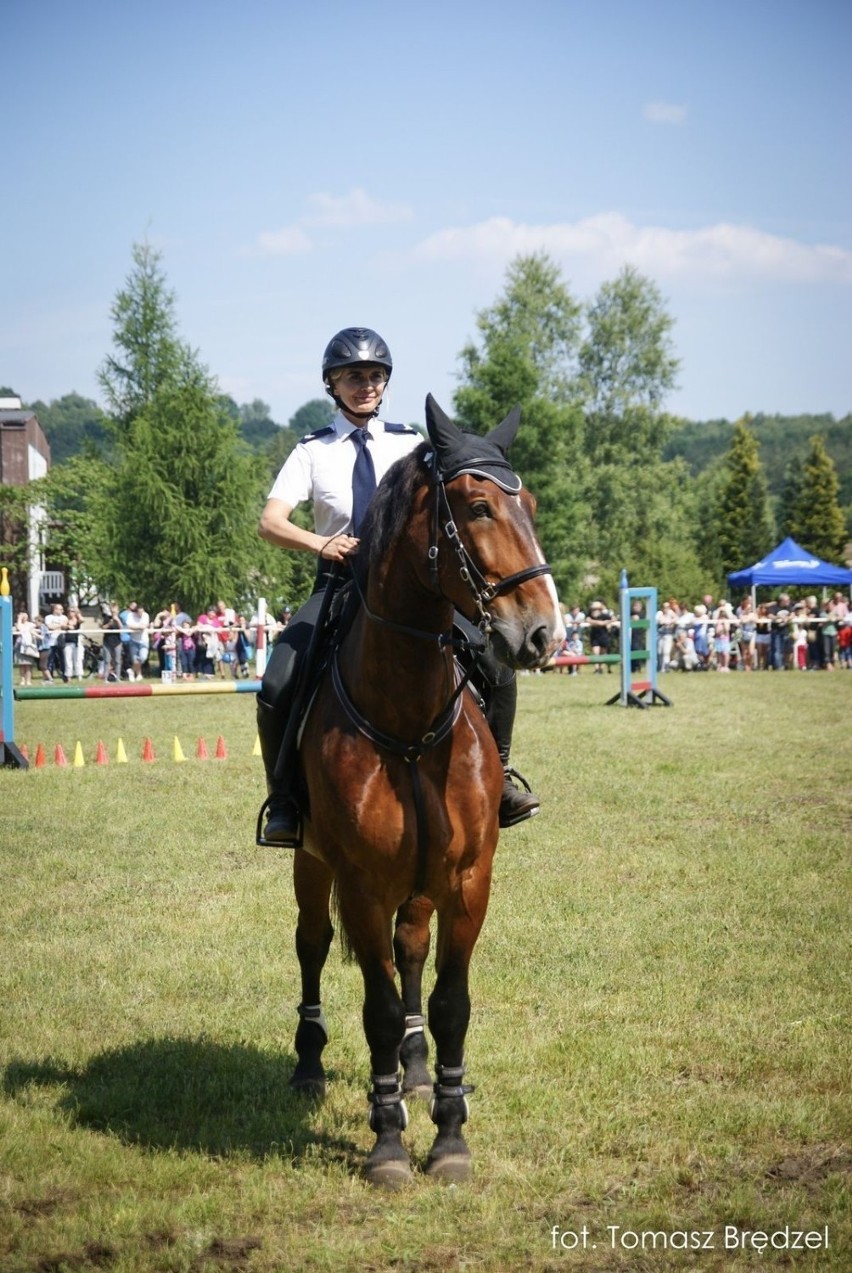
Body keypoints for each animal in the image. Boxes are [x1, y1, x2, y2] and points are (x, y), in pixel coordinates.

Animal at [289, 392, 560, 1186]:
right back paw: (309, 1065)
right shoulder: (360, 881)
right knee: (311, 944)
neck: (406, 718)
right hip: (310, 863)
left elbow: (448, 1003)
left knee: (410, 948)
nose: (543, 633)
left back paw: (412, 1069)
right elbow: (376, 1007)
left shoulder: (467, 880)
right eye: (477, 506)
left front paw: (448, 1132)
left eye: (529, 503)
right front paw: (386, 1145)